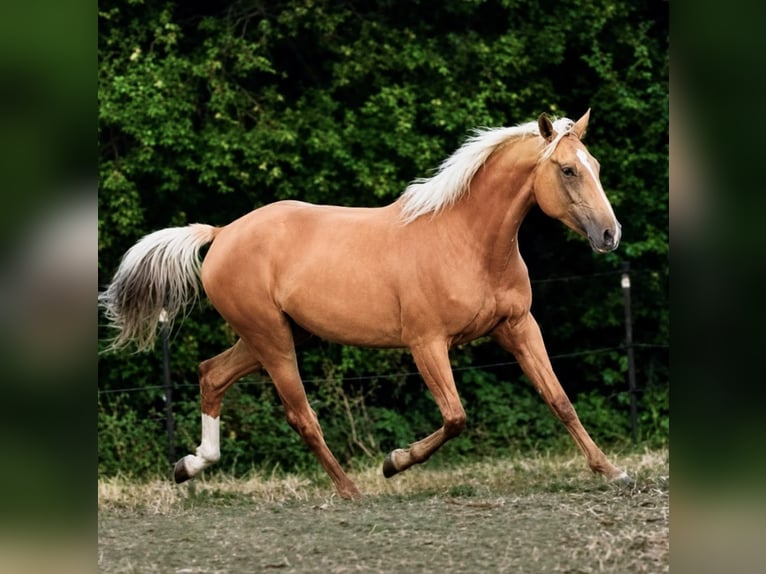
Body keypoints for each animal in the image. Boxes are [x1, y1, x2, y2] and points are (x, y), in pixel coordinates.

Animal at [99, 109, 628, 499]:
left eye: (597, 167)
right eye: (567, 170)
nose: (610, 234)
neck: (467, 242)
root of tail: (223, 232)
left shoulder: (517, 326)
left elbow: (559, 400)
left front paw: (610, 470)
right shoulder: (427, 343)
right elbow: (455, 417)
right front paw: (394, 463)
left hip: (272, 335)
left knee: (211, 373)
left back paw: (190, 465)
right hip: (272, 341)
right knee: (301, 415)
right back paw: (351, 490)